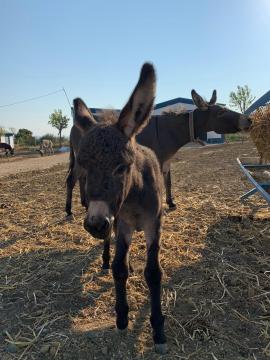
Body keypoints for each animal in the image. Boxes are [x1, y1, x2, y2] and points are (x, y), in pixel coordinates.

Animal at [73, 63, 168, 352]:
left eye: (122, 167)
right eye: (83, 166)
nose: (94, 224)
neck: (134, 197)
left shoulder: (152, 223)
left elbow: (153, 272)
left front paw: (158, 330)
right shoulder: (122, 223)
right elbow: (118, 267)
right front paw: (122, 317)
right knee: (111, 250)